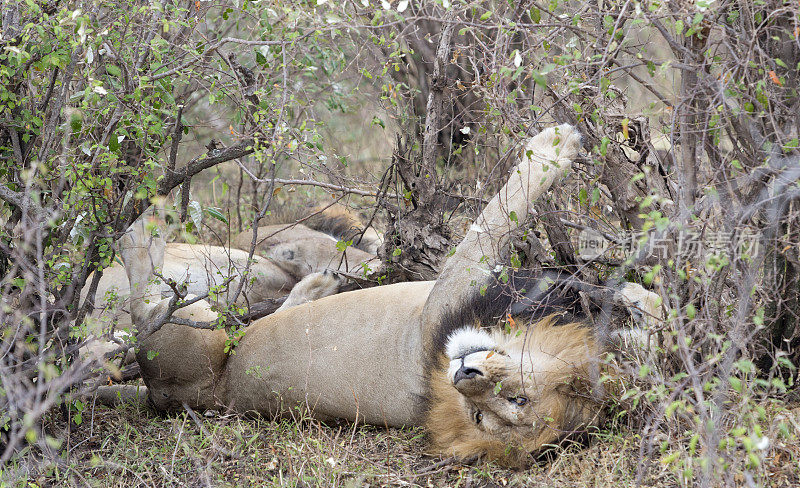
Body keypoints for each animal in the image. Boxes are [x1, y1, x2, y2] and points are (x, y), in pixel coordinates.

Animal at [117, 124, 664, 464]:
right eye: (513, 399)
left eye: (502, 408)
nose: (466, 373)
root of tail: (163, 396)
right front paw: (646, 307)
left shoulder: (445, 297)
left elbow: (493, 218)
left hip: (195, 337)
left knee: (149, 304)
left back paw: (148, 222)